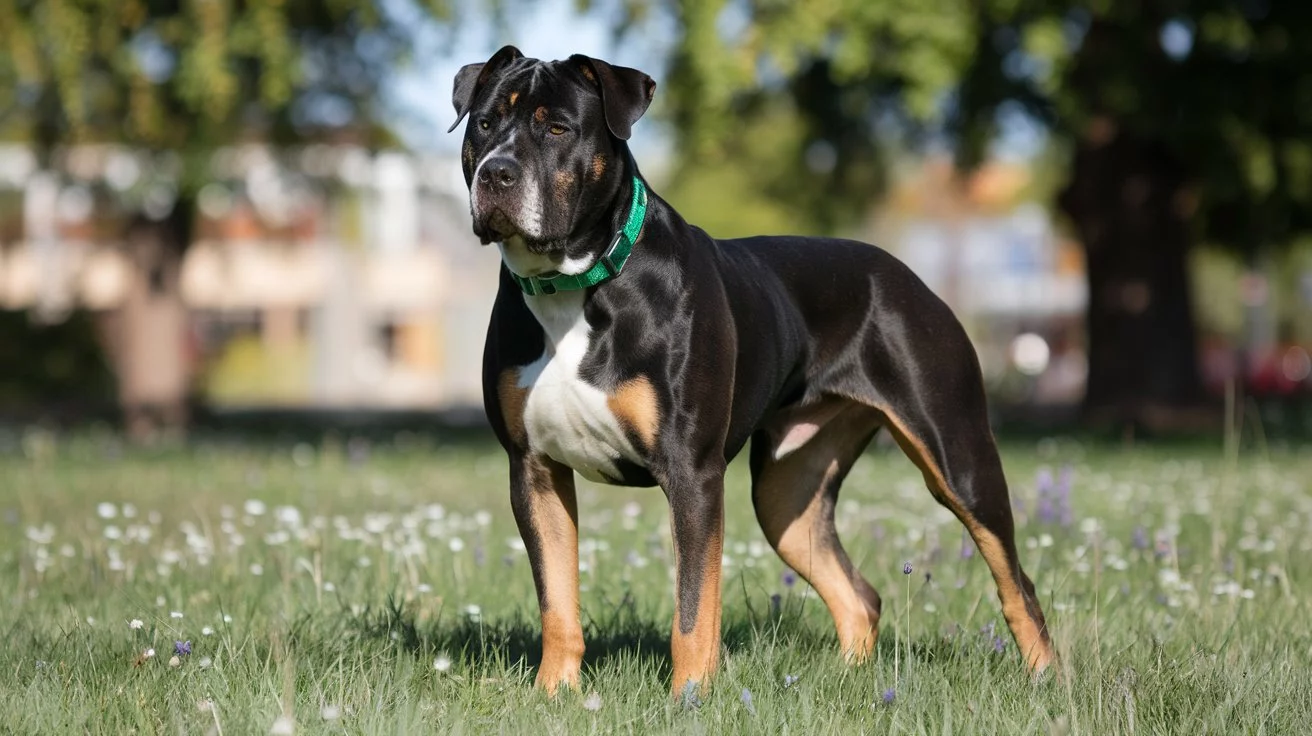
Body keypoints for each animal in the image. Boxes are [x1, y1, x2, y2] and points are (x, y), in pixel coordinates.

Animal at [451, 44, 1054, 692]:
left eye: (558, 128)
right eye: (483, 124)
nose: (497, 173)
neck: (575, 283)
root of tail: (910, 277)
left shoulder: (691, 472)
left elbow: (694, 610)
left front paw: (689, 697)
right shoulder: (534, 469)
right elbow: (557, 602)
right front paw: (555, 695)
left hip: (958, 459)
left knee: (1017, 583)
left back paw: (1047, 681)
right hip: (785, 493)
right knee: (858, 595)